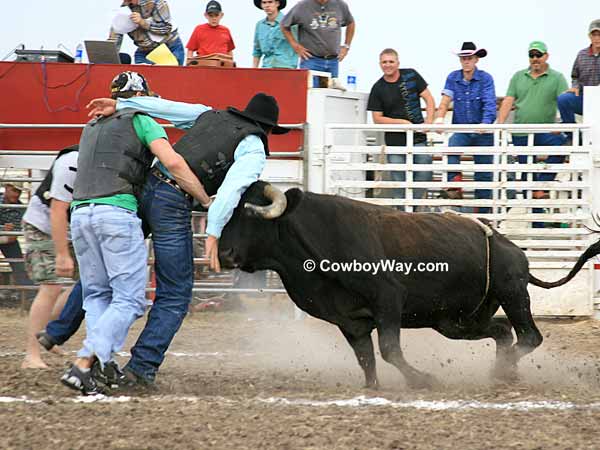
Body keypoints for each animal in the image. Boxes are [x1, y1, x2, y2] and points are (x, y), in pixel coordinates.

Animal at [219, 181, 600, 388]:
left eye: (250, 214)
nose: (224, 253)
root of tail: (512, 249)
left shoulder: (388, 300)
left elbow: (389, 350)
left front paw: (423, 379)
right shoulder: (350, 321)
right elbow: (366, 358)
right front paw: (372, 387)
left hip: (513, 292)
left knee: (529, 337)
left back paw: (501, 371)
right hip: (456, 322)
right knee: (503, 333)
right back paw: (502, 372)